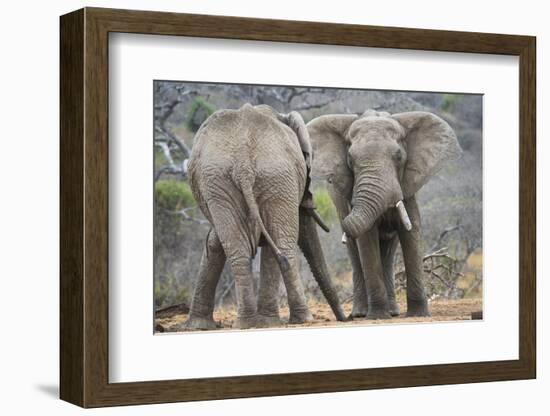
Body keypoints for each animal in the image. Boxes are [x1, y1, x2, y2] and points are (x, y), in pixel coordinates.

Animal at [187, 103, 350, 328]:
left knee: (243, 250)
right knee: (281, 244)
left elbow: (215, 241)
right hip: (267, 177)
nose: (346, 318)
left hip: (233, 182)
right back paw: (295, 319)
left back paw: (250, 323)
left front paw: (198, 326)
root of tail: (243, 164)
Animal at [308, 108, 464, 318]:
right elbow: (366, 239)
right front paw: (377, 316)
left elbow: (411, 232)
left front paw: (419, 315)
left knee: (389, 252)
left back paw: (393, 312)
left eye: (398, 157)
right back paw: (361, 314)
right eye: (350, 160)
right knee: (355, 253)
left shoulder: (408, 188)